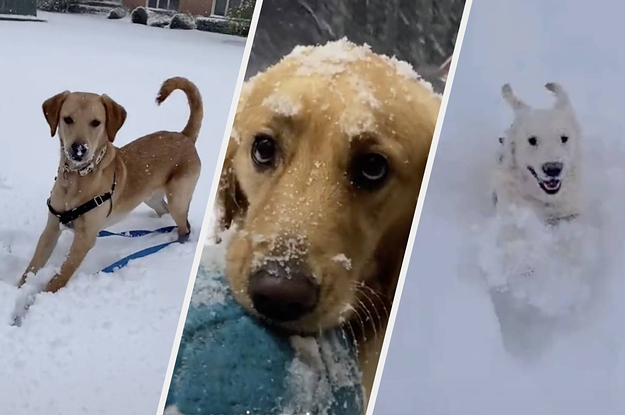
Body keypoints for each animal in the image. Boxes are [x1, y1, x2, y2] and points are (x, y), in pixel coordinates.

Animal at [18, 76, 202, 294]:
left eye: (96, 122)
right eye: (67, 119)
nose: (79, 149)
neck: (77, 179)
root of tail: (185, 136)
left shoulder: (85, 237)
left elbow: (60, 276)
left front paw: (40, 298)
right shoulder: (52, 227)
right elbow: (32, 267)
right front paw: (19, 290)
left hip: (178, 199)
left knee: (185, 226)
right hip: (150, 197)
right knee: (163, 210)